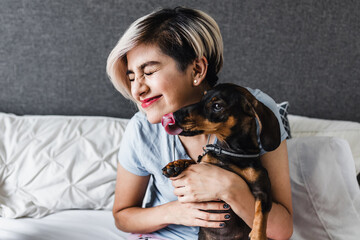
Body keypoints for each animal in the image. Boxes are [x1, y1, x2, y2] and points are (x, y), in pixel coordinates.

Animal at [161, 83, 282, 240]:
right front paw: (176, 164)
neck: (230, 154)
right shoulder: (204, 163)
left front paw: (258, 235)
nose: (174, 115)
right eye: (202, 97)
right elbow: (195, 161)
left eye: (217, 106)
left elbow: (260, 214)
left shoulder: (263, 191)